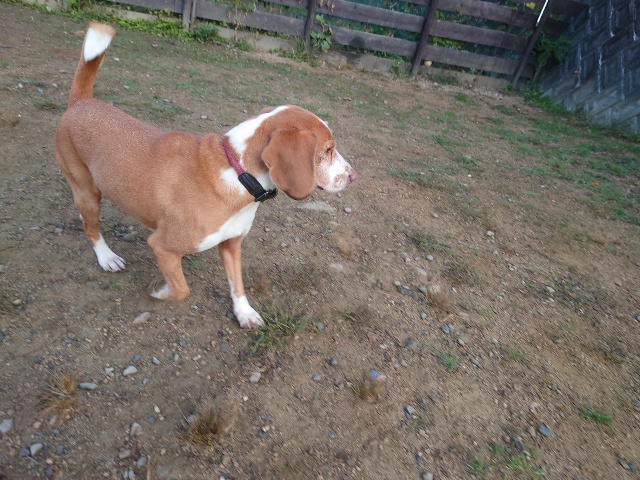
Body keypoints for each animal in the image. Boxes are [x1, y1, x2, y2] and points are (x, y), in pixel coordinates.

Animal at [55, 23, 357, 328]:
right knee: (90, 227)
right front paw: (160, 291)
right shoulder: (162, 246)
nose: (353, 175)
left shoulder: (232, 245)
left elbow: (238, 285)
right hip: (87, 191)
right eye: (328, 150)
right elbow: (181, 289)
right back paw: (106, 257)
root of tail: (81, 102)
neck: (238, 172)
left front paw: (244, 313)